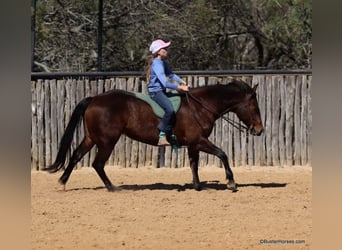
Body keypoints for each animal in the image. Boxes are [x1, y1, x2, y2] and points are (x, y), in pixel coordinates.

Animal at [43, 79, 264, 192]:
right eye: (254, 107)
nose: (259, 130)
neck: (200, 106)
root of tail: (94, 99)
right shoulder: (199, 141)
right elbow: (222, 154)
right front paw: (231, 182)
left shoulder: (193, 144)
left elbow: (194, 164)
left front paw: (197, 185)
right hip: (107, 141)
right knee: (97, 164)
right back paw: (112, 187)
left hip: (91, 138)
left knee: (75, 156)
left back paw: (63, 182)